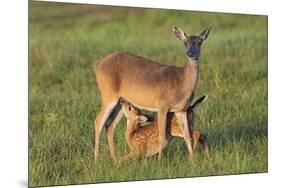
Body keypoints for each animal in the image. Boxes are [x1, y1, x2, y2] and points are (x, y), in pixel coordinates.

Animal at [93, 25, 210, 162]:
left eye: (199, 42)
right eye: (185, 43)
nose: (191, 53)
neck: (182, 82)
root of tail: (97, 64)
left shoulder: (181, 109)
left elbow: (186, 135)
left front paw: (192, 159)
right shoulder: (162, 105)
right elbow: (162, 136)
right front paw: (160, 161)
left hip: (121, 102)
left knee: (109, 125)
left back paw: (114, 158)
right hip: (108, 94)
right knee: (98, 121)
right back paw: (96, 160)